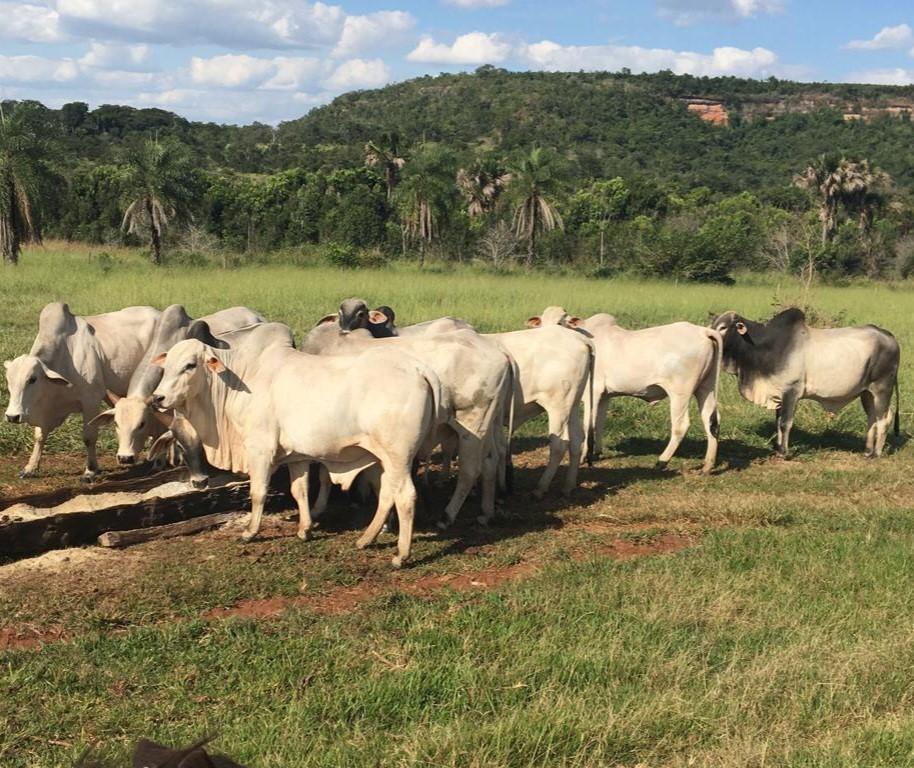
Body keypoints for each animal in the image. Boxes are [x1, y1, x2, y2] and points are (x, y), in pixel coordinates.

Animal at [4, 302, 160, 476]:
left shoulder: (90, 401)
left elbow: (89, 437)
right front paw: (30, 468)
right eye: (8, 380)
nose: (12, 416)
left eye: (32, 379)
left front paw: (90, 470)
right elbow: (39, 436)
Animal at [153, 320, 446, 568]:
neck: (244, 376)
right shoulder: (298, 456)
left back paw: (401, 555)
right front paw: (305, 529)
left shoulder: (260, 449)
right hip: (385, 458)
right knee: (386, 494)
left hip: (399, 455)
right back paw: (366, 539)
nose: (158, 397)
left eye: (190, 365)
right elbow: (300, 490)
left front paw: (250, 532)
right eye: (166, 367)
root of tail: (418, 369)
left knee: (405, 496)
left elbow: (258, 492)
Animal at [528, 308, 720, 474]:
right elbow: (599, 423)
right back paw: (707, 466)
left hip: (680, 392)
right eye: (542, 322)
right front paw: (596, 452)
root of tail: (703, 331)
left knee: (681, 426)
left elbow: (588, 425)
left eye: (561, 322)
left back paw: (662, 461)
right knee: (711, 421)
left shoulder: (593, 392)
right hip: (706, 388)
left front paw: (584, 456)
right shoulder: (605, 396)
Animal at [708, 308, 896, 460]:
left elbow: (785, 423)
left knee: (884, 419)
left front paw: (784, 453)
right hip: (867, 393)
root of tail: (889, 336)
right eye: (713, 324)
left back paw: (876, 453)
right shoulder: (779, 394)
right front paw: (778, 449)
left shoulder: (791, 392)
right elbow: (778, 422)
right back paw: (867, 451)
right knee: (872, 418)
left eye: (723, 327)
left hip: (882, 389)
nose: (711, 338)